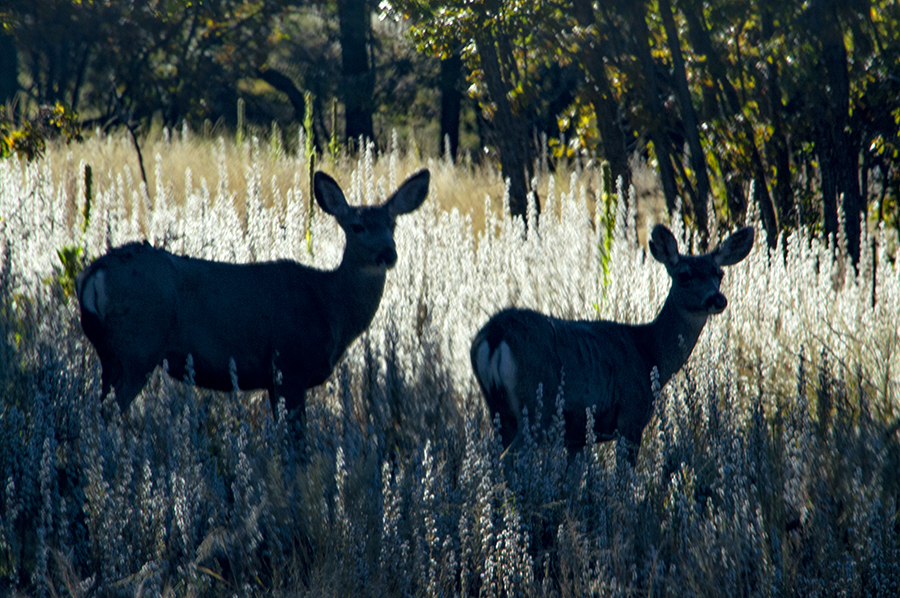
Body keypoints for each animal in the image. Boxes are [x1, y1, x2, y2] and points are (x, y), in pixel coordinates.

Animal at [76, 169, 430, 445]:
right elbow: (296, 446)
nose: (388, 253)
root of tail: (94, 274)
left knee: (97, 408)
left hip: (111, 354)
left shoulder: (274, 380)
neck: (327, 304)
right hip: (139, 348)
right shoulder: (290, 363)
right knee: (109, 411)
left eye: (392, 225)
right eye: (357, 227)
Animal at [470, 224, 754, 464]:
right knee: (508, 458)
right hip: (536, 408)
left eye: (719, 273)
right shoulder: (631, 417)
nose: (717, 299)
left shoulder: (578, 437)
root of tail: (494, 336)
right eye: (684, 275)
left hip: (498, 410)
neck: (650, 354)